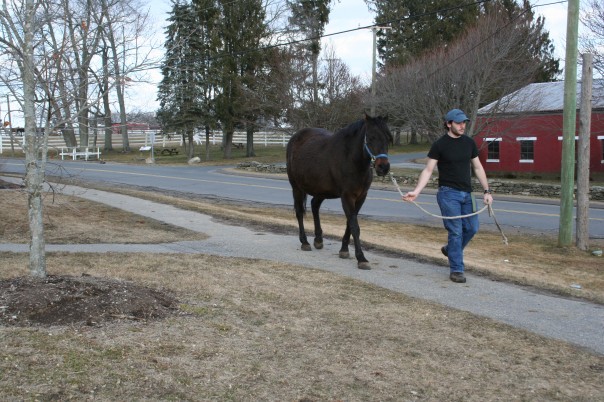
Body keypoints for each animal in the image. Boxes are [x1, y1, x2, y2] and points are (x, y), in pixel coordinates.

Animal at [286, 114, 394, 268]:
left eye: (388, 138)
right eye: (371, 137)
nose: (383, 167)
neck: (351, 159)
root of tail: (295, 137)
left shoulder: (361, 197)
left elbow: (350, 223)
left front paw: (344, 250)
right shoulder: (347, 196)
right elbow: (354, 225)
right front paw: (361, 258)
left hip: (321, 190)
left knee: (314, 205)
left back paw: (318, 239)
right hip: (296, 187)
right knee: (300, 212)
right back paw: (305, 242)